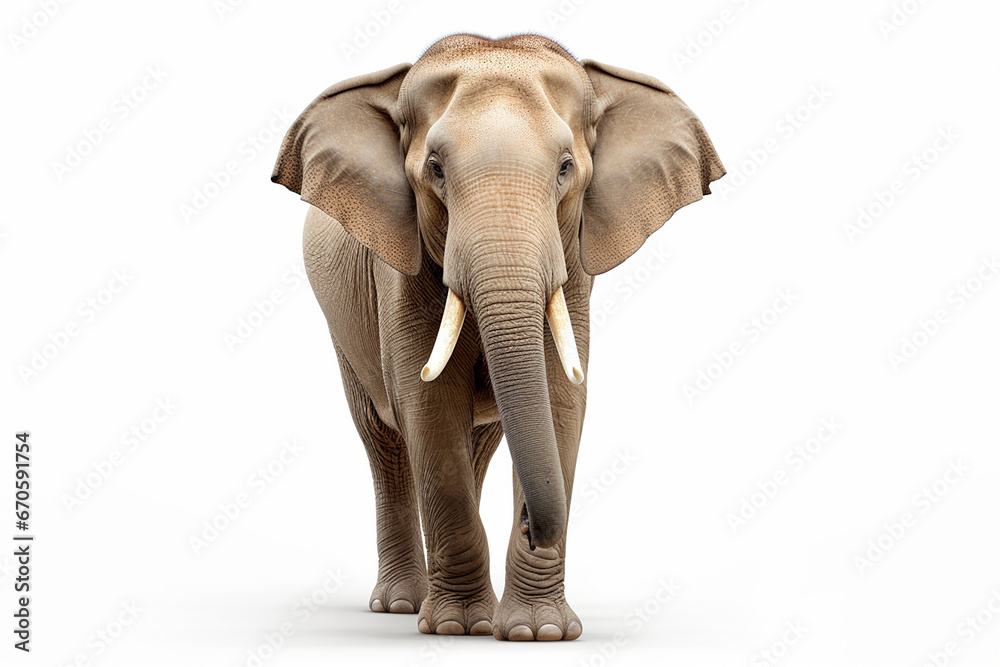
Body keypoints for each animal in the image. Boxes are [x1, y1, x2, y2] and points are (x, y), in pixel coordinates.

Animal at [271, 33, 724, 641]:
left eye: (565, 168)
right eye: (435, 169)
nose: (534, 524)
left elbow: (561, 401)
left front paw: (539, 633)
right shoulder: (399, 273)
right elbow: (428, 404)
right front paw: (459, 628)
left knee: (478, 444)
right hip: (342, 324)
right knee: (384, 442)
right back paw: (401, 605)